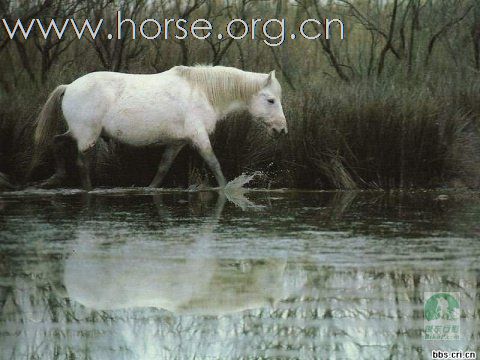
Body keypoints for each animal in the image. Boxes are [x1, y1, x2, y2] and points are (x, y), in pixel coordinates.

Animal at [31, 65, 286, 190]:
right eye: (271, 100)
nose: (282, 130)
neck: (202, 91)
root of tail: (69, 86)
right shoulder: (198, 136)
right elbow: (214, 163)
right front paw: (226, 189)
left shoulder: (177, 142)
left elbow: (163, 168)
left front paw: (150, 189)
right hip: (87, 136)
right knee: (82, 164)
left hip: (79, 133)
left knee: (57, 141)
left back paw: (55, 178)